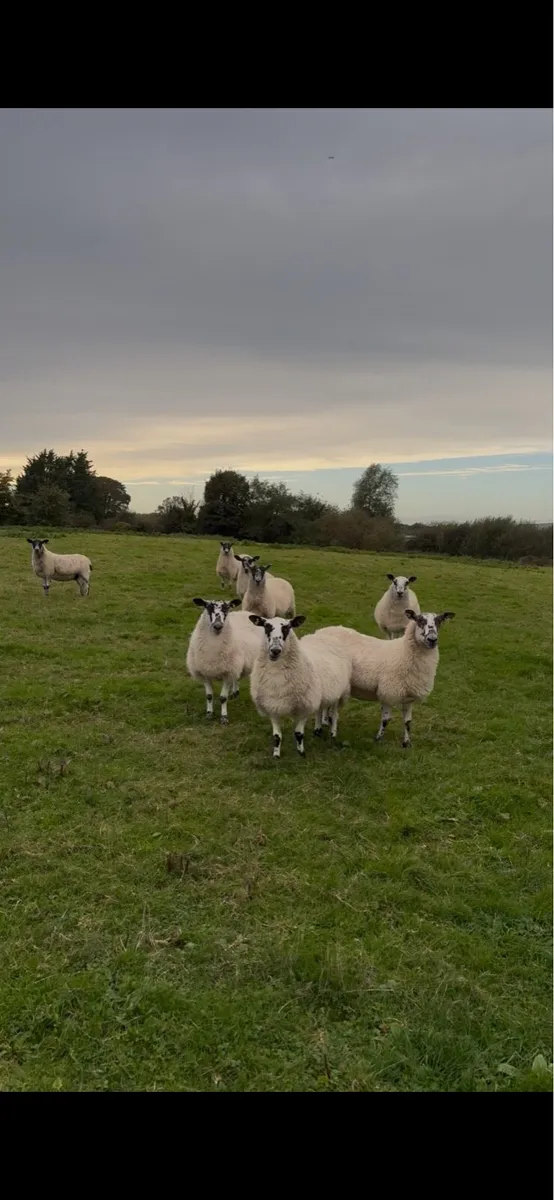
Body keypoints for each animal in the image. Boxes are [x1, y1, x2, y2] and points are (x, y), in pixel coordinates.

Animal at [248, 614, 350, 758]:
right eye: (266, 626)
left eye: (287, 627)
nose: (275, 650)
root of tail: (331, 630)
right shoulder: (272, 706)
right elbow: (276, 736)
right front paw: (276, 754)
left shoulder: (304, 707)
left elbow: (299, 733)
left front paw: (301, 752)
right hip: (320, 693)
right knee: (320, 709)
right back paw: (318, 730)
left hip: (339, 692)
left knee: (335, 714)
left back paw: (333, 733)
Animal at [314, 609, 455, 748]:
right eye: (420, 620)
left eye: (439, 621)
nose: (432, 639)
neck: (404, 652)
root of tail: (321, 631)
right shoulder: (388, 692)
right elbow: (386, 720)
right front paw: (378, 738)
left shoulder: (409, 696)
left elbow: (408, 722)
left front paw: (406, 743)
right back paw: (322, 728)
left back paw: (325, 722)